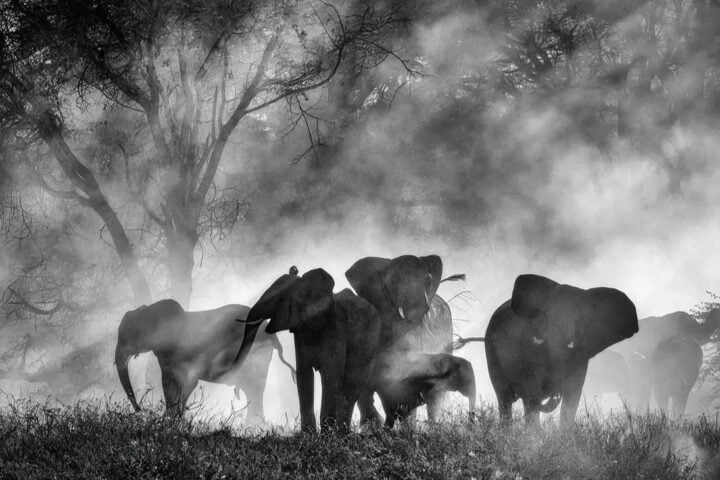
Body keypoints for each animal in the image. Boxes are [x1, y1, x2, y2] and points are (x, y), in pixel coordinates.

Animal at [115, 299, 295, 418]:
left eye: (130, 337)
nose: (141, 411)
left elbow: (188, 383)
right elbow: (168, 384)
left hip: (256, 356)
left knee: (254, 390)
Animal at [233, 267, 382, 433]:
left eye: (281, 300)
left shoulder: (336, 329)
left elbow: (331, 375)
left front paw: (327, 434)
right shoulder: (300, 331)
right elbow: (304, 375)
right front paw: (308, 434)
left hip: (370, 344)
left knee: (352, 384)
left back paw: (342, 432)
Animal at [454, 274, 638, 425]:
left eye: (581, 318)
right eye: (548, 314)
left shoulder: (581, 357)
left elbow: (572, 398)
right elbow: (531, 395)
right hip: (492, 353)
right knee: (505, 399)